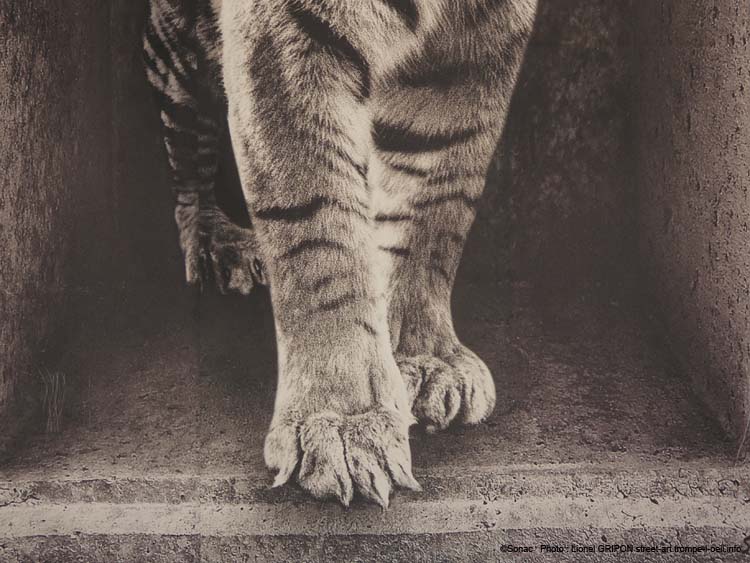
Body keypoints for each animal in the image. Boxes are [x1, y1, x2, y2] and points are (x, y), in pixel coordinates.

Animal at [143, 0, 537, 507]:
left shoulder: (477, 46)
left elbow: (436, 201)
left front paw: (425, 361)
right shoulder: (289, 32)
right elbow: (321, 231)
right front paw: (342, 423)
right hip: (182, 49)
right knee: (188, 158)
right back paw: (219, 245)